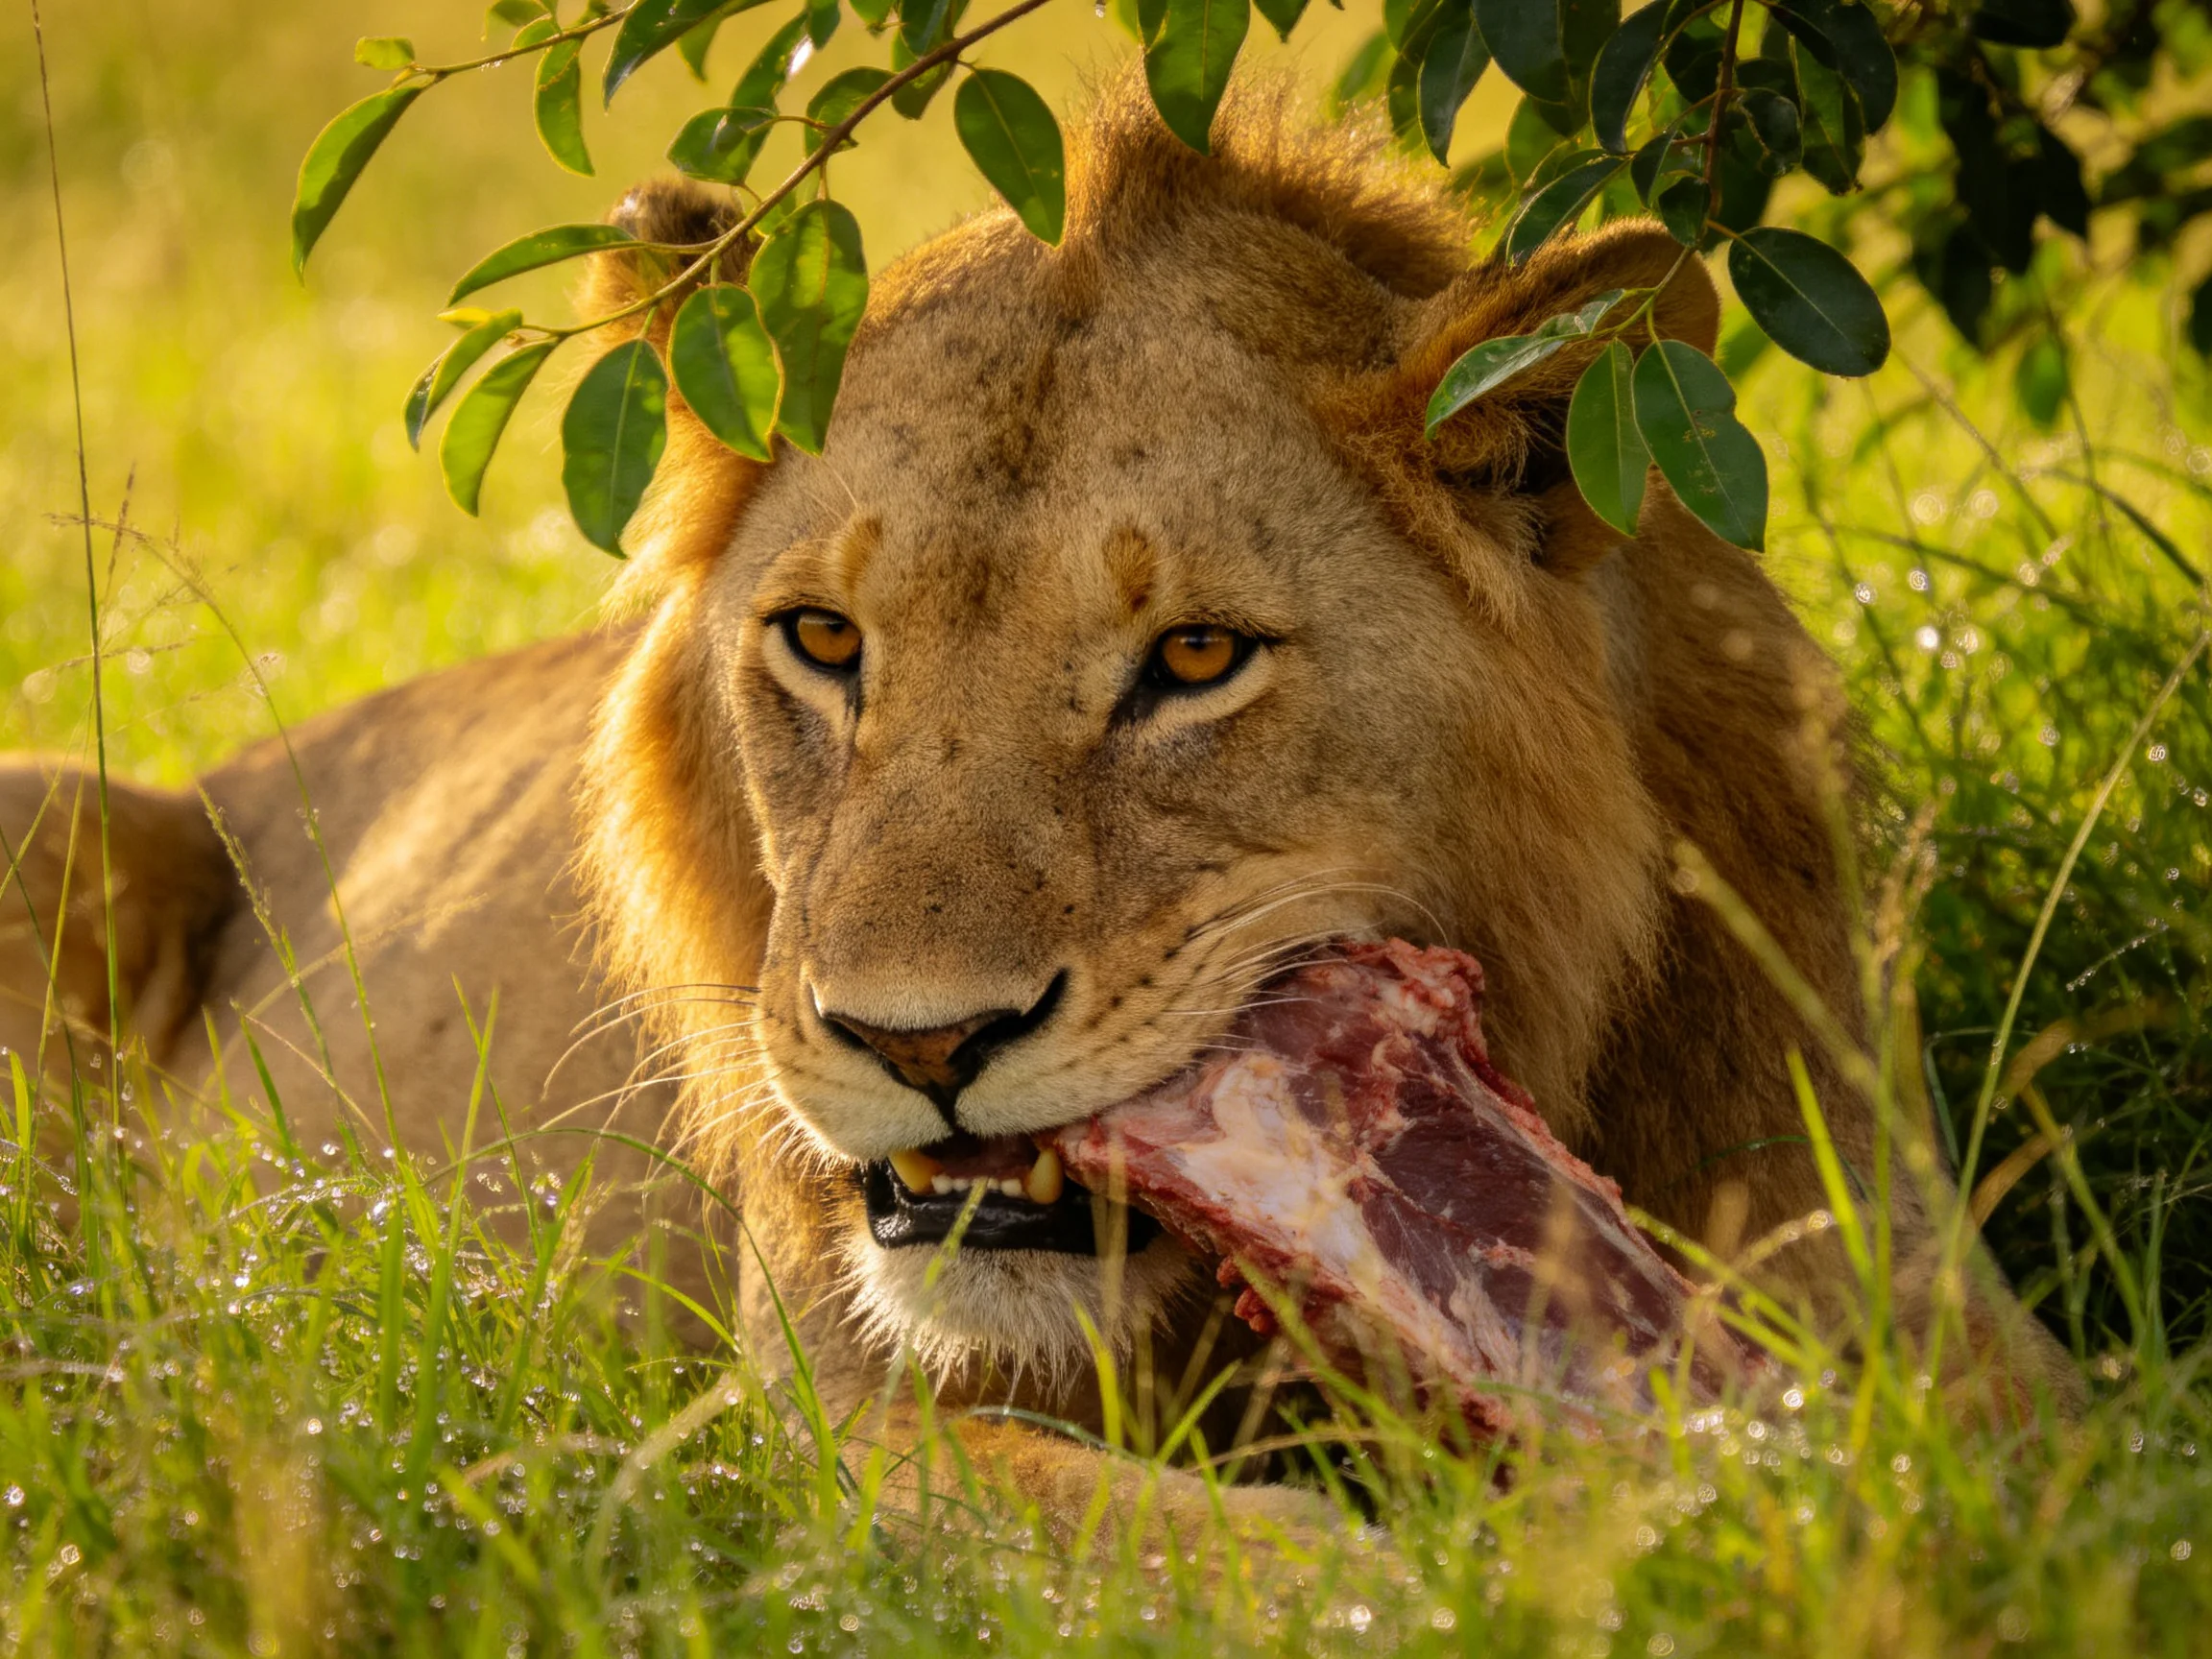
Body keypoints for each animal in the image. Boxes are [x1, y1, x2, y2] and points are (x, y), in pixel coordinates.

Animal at [0, 78, 2079, 1537]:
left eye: (1195, 659)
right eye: (825, 640)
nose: (916, 1044)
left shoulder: (1907, 1279)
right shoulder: (810, 1433)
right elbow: (1202, 1552)